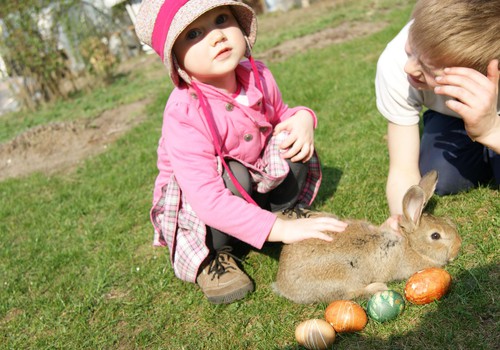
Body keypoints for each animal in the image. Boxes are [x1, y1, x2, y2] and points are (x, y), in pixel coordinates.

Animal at [272, 171, 462, 302]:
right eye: (435, 236)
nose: (457, 247)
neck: (411, 245)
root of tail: (282, 285)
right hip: (342, 278)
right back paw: (378, 288)